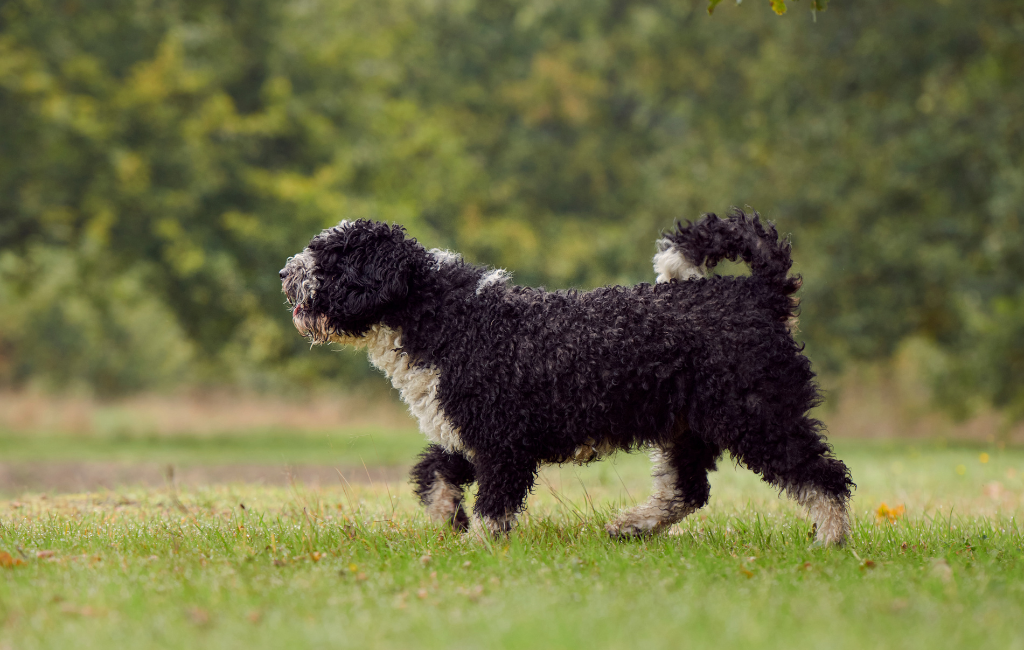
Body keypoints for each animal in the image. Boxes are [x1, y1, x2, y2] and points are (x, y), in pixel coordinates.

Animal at [280, 211, 856, 544]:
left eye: (331, 259)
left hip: (756, 415)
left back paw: (829, 541)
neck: (449, 320)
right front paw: (449, 518)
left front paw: (477, 546)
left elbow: (495, 503)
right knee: (688, 490)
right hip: (687, 425)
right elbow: (434, 473)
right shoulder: (467, 430)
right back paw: (632, 526)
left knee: (824, 475)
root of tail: (759, 293)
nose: (286, 274)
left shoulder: (503, 441)